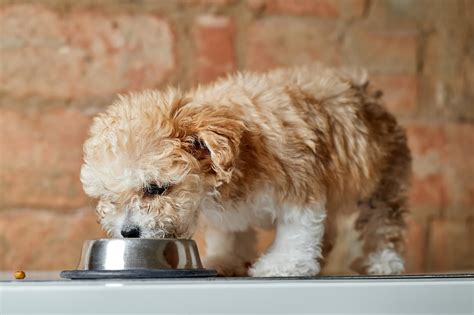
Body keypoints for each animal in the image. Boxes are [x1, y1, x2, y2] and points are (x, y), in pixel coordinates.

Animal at [80, 64, 412, 276]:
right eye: (110, 197)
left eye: (155, 188)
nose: (128, 232)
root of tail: (365, 90)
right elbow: (232, 233)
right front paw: (226, 259)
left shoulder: (298, 181)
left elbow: (297, 228)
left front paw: (283, 264)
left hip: (382, 179)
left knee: (383, 220)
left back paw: (384, 260)